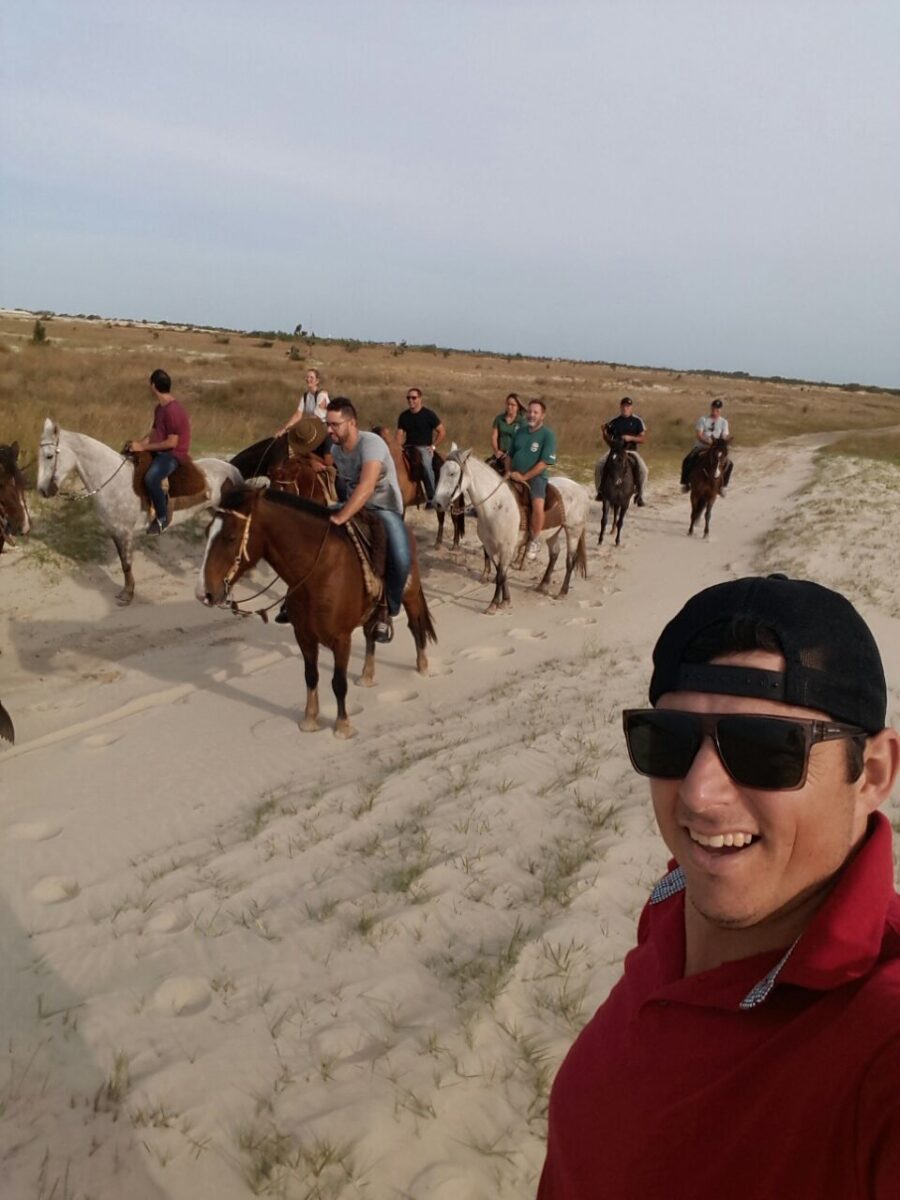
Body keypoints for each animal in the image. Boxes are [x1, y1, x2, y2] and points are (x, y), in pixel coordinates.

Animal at [37, 419, 242, 605]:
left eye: (49, 456)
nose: (42, 490)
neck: (113, 480)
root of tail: (232, 467)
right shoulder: (115, 531)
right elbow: (123, 563)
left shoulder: (125, 532)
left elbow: (127, 564)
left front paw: (127, 595)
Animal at [196, 485, 437, 738]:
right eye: (207, 532)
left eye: (231, 537)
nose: (204, 593)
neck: (319, 571)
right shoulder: (303, 636)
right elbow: (310, 676)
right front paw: (310, 720)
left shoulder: (341, 640)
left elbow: (338, 682)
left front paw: (342, 726)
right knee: (370, 634)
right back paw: (367, 675)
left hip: (410, 595)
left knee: (415, 626)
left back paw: (422, 668)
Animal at [434, 449, 589, 613]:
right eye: (440, 471)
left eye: (452, 473)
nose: (437, 503)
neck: (496, 506)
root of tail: (580, 489)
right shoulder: (490, 547)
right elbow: (500, 572)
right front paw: (505, 600)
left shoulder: (507, 548)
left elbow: (501, 575)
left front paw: (494, 604)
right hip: (552, 533)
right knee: (554, 554)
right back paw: (542, 585)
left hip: (573, 531)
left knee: (570, 561)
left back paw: (562, 592)